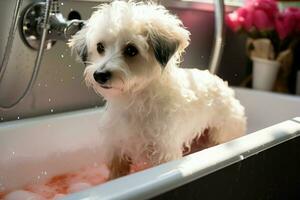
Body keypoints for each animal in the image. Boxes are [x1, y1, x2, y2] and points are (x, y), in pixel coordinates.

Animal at [69, 0, 246, 178]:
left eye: (131, 50)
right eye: (100, 47)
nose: (99, 75)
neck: (135, 101)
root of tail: (224, 86)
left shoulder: (164, 152)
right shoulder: (117, 148)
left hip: (221, 134)